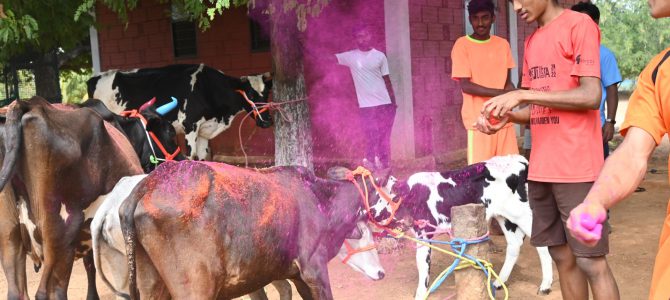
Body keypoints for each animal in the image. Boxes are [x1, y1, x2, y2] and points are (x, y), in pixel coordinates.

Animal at [88, 63, 274, 161]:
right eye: (250, 94)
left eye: (266, 93)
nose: (267, 121)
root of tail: (96, 77)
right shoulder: (190, 125)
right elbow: (191, 156)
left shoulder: (204, 131)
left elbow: (202, 158)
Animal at [378, 156, 556, 298]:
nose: (372, 213)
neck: (410, 193)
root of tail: (520, 160)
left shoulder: (423, 232)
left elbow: (423, 264)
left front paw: (421, 293)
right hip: (505, 217)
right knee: (514, 244)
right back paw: (499, 282)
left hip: (523, 214)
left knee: (541, 244)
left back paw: (545, 285)